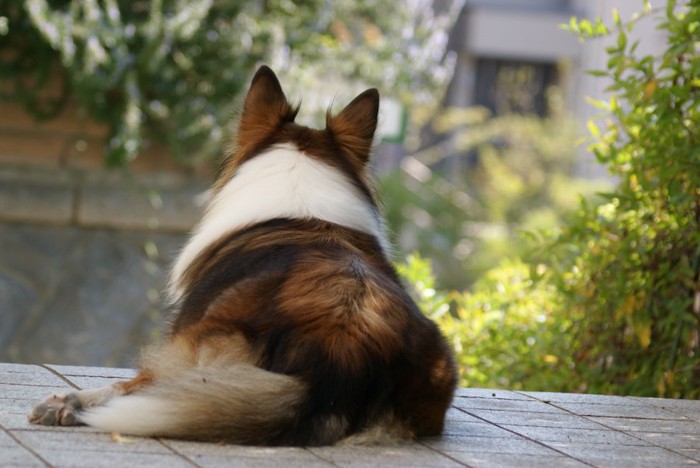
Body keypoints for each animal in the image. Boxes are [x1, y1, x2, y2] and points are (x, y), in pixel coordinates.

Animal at [30, 66, 460, 446]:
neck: (301, 201)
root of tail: (343, 352)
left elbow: (129, 383)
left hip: (198, 344)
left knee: (146, 387)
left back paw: (67, 405)